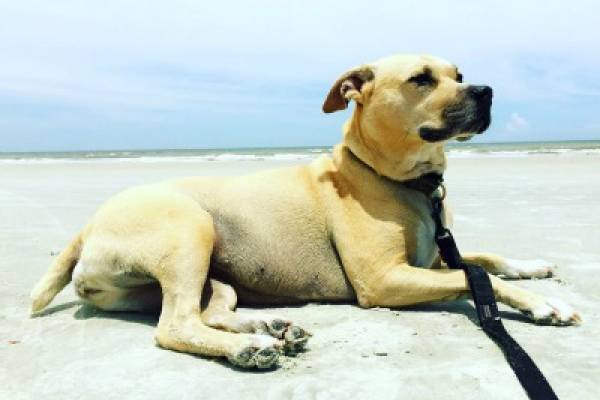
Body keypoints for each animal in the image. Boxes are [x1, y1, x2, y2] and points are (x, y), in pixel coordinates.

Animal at [29, 54, 580, 368]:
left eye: (459, 75)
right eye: (422, 79)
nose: (486, 92)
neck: (402, 180)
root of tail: (87, 228)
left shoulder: (436, 256)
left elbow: (484, 260)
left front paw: (533, 266)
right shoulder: (385, 280)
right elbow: (472, 278)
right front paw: (545, 304)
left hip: (208, 277)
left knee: (209, 311)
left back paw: (271, 329)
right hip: (189, 231)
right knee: (176, 325)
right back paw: (249, 349)